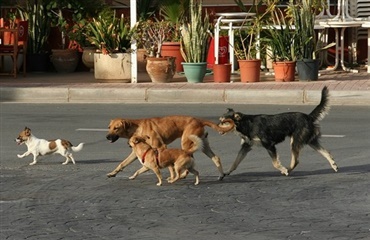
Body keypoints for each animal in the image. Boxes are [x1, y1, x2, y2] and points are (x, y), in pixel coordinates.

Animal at [105, 115, 234, 180]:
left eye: (116, 128)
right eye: (109, 127)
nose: (107, 137)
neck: (137, 127)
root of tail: (199, 120)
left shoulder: (160, 146)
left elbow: (168, 165)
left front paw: (171, 176)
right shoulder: (136, 153)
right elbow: (122, 163)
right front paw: (112, 173)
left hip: (186, 143)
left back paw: (183, 175)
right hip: (203, 145)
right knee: (216, 158)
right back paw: (221, 175)